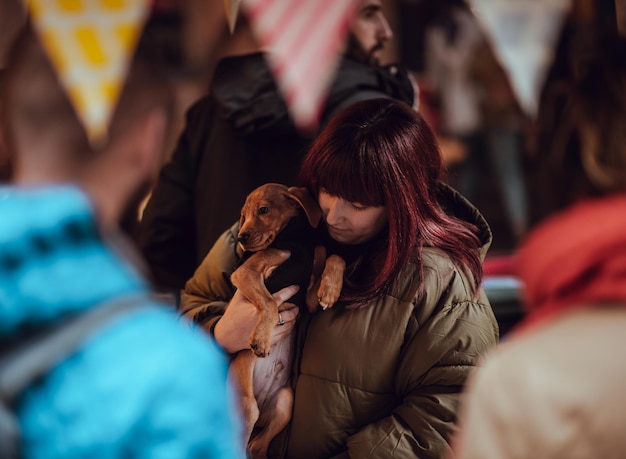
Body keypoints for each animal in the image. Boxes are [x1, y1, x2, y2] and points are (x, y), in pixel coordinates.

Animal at [229, 183, 344, 459]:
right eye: (242, 216)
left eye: (263, 210)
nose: (241, 238)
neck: (292, 237)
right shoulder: (245, 273)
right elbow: (270, 302)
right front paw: (261, 339)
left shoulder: (308, 300)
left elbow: (330, 255)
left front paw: (331, 289)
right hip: (245, 404)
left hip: (285, 403)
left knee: (256, 445)